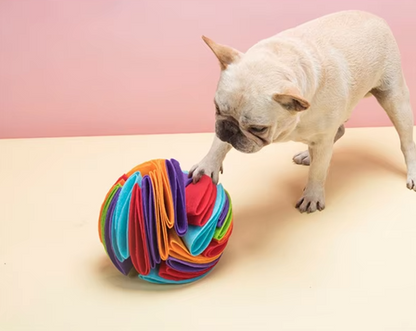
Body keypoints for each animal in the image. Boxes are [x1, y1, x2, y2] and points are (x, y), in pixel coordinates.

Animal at [188, 10, 416, 214]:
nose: (229, 128)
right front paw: (208, 165)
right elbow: (219, 143)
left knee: (406, 142)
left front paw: (312, 196)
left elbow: (318, 171)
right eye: (217, 108)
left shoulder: (323, 139)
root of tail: (375, 17)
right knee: (337, 133)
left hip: (395, 100)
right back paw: (307, 154)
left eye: (258, 128)